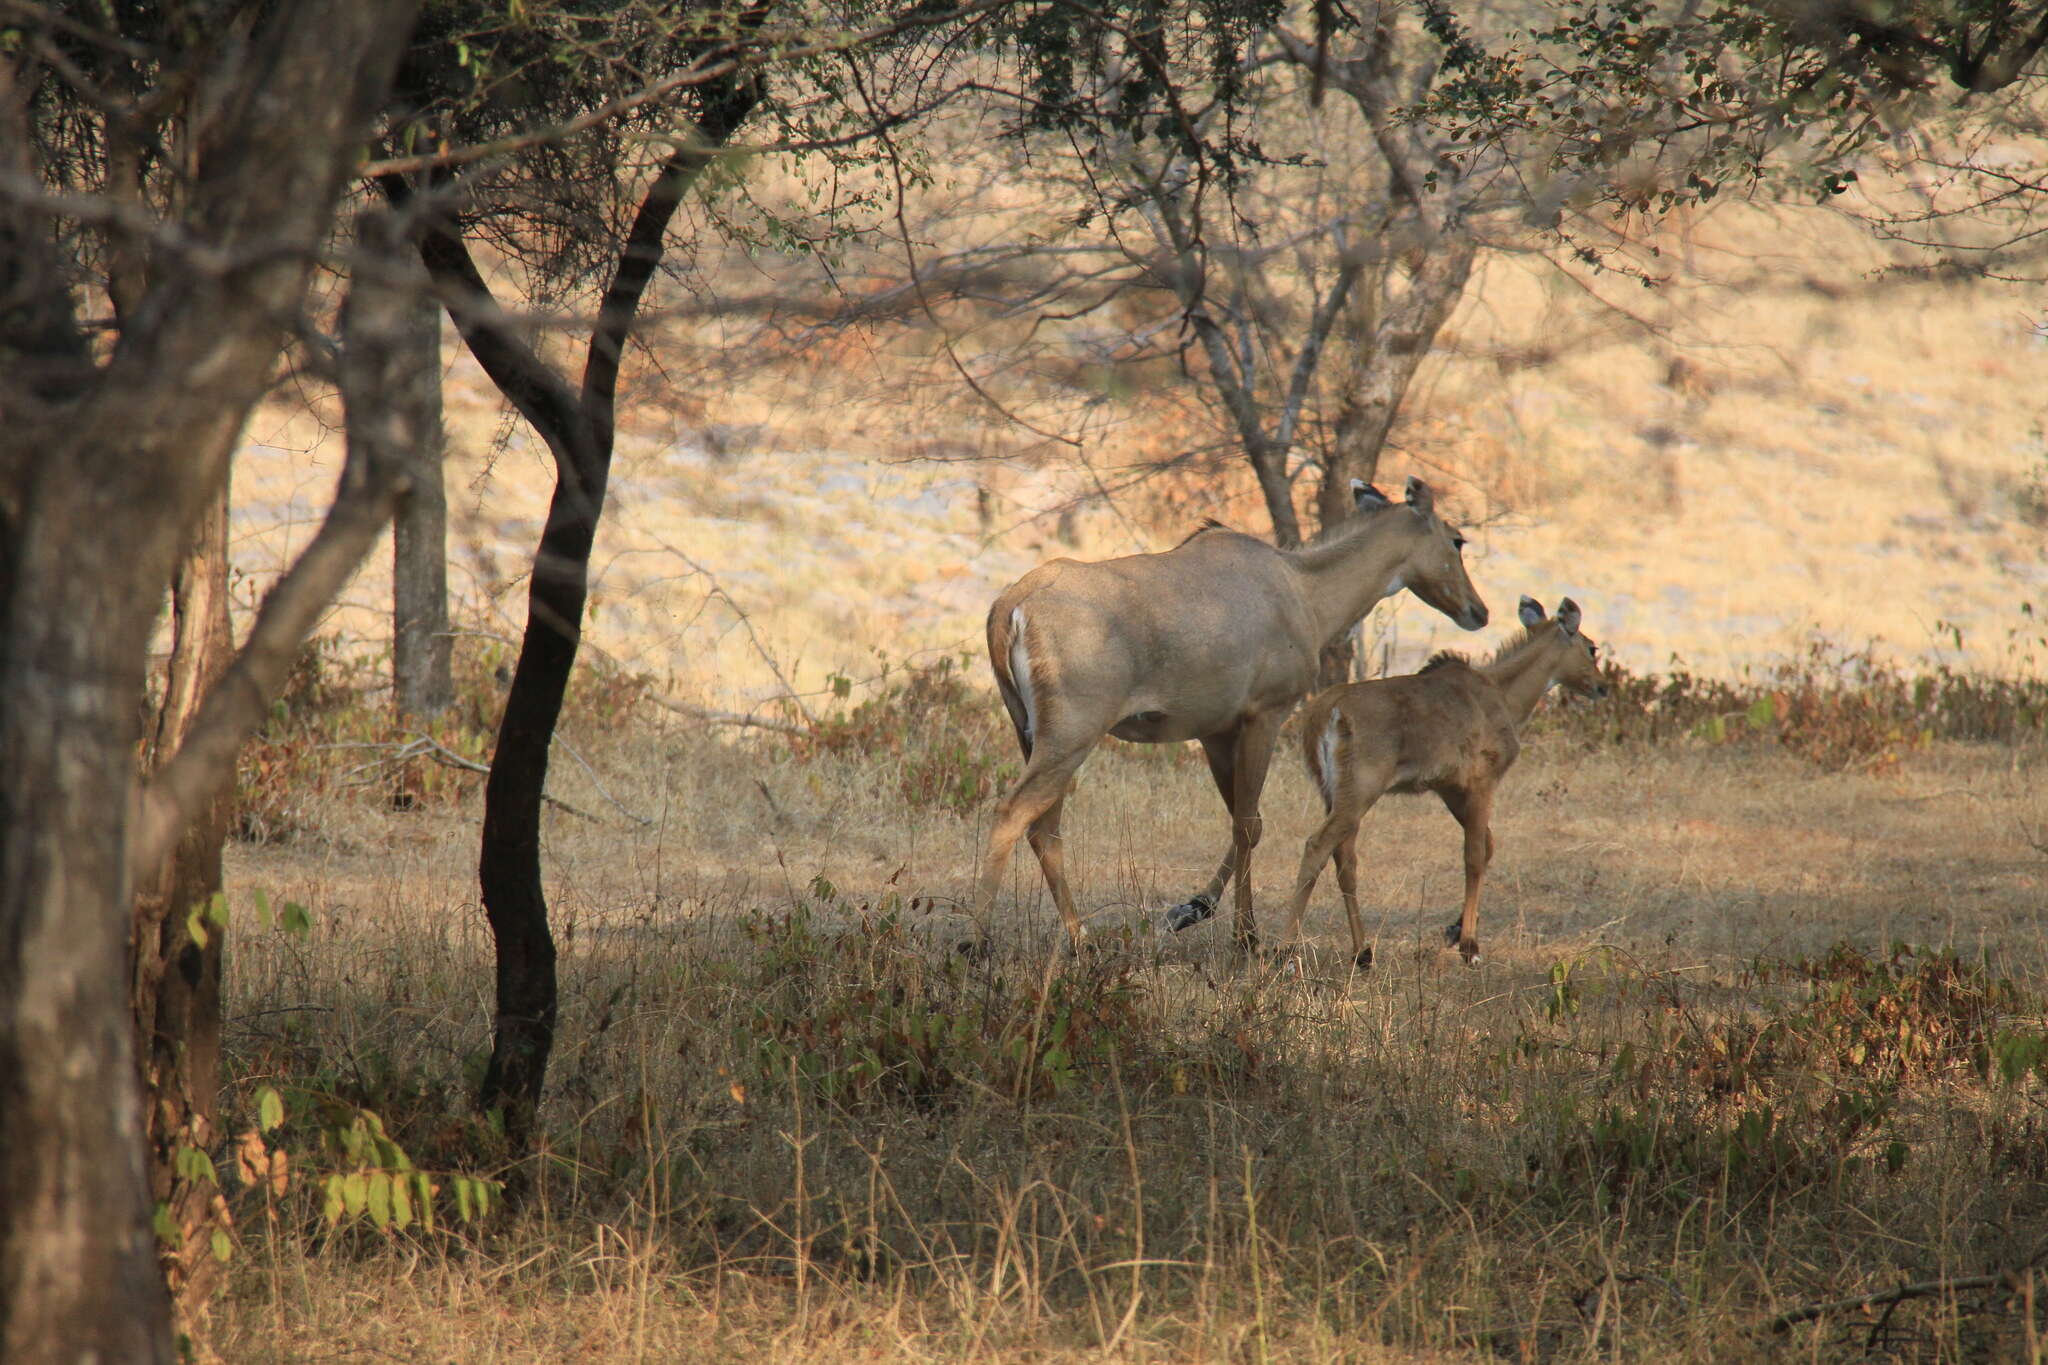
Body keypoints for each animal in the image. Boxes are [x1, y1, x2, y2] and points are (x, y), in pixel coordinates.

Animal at [1277, 597, 1597, 970]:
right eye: (1592, 648)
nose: (1601, 686)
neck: (1504, 695)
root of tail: (1326, 712)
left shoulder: (1449, 789)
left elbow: (1488, 844)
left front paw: (1455, 930)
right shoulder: (1482, 780)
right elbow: (1474, 854)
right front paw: (1470, 945)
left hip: (1333, 792)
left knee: (1344, 857)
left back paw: (1363, 952)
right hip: (1361, 789)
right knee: (1318, 845)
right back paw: (1285, 952)